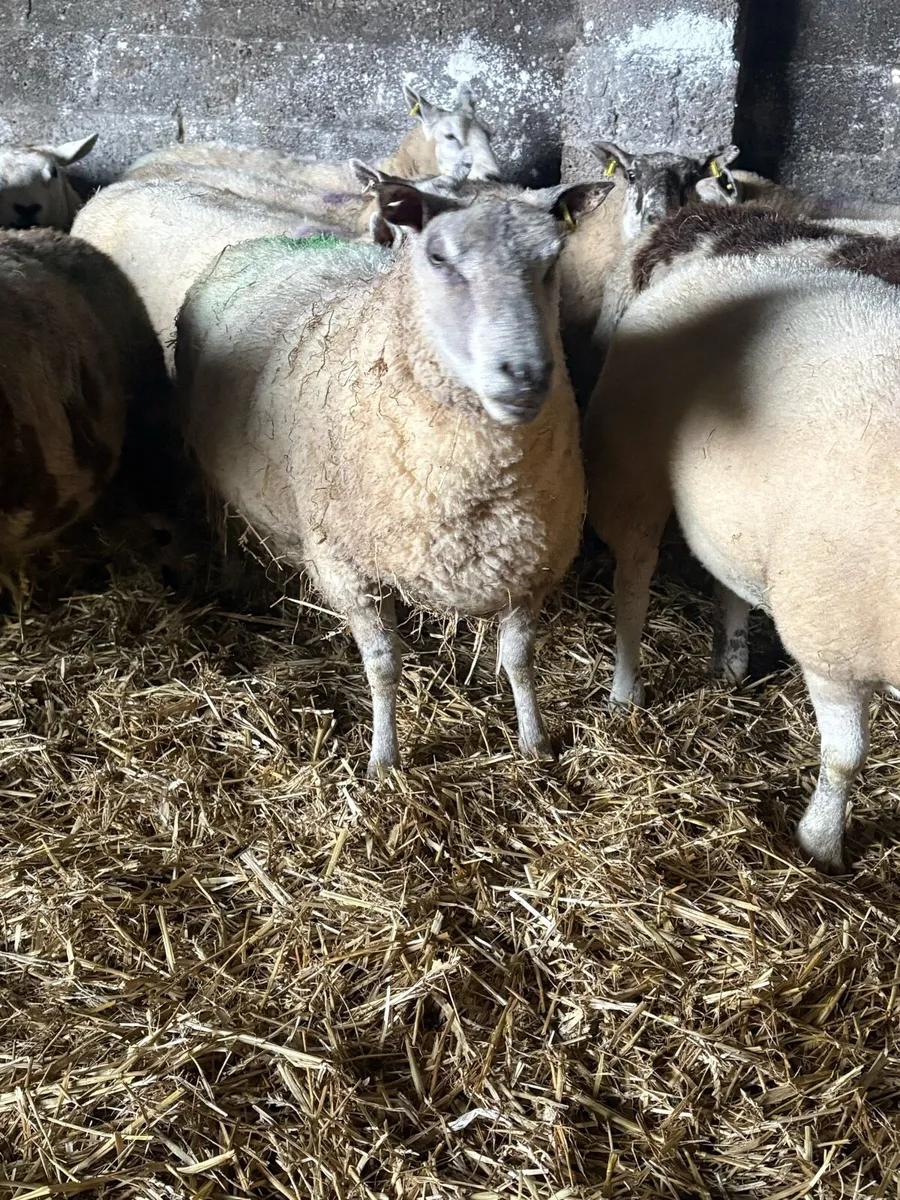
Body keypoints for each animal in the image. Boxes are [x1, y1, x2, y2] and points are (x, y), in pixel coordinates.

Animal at [175, 175, 613, 776]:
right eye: (438, 257)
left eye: (552, 261)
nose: (525, 375)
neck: (480, 481)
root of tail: (250, 244)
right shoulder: (344, 567)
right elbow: (383, 667)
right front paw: (385, 760)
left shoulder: (532, 565)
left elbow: (520, 660)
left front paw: (535, 741)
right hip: (210, 473)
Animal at [582, 210, 900, 872]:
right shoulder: (834, 643)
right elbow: (845, 758)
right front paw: (821, 843)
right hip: (632, 466)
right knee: (632, 584)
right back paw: (626, 692)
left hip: (733, 507)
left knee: (725, 571)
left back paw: (729, 662)